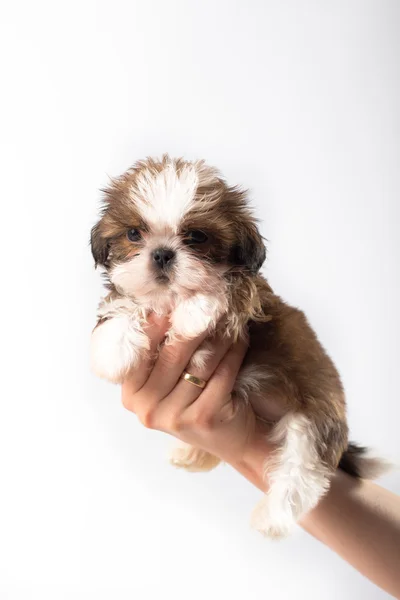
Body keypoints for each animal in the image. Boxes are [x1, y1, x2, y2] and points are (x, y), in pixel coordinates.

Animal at [90, 155, 384, 540]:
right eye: (134, 234)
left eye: (197, 237)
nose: (162, 254)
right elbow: (125, 305)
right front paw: (113, 348)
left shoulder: (253, 296)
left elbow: (230, 288)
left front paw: (194, 312)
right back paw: (191, 453)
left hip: (313, 417)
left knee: (303, 474)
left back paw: (272, 517)